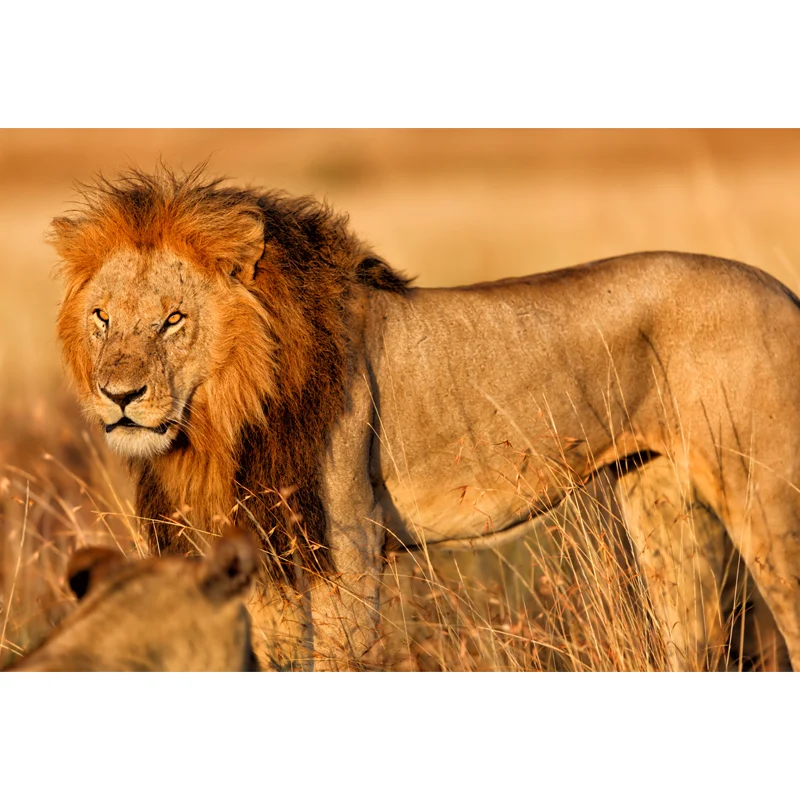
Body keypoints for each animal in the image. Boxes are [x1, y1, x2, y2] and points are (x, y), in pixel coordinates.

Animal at [49, 166, 800, 671]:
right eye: (103, 318)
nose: (119, 395)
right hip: (661, 497)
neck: (224, 419)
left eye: (173, 321)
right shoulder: (259, 549)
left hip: (765, 495)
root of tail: (782, 291)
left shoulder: (343, 547)